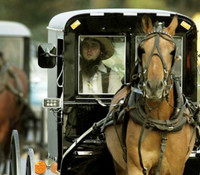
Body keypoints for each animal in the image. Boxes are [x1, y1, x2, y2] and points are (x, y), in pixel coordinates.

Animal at [105, 15, 196, 175]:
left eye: (173, 51)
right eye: (141, 50)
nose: (154, 87)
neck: (160, 123)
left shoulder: (176, 167)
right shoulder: (136, 166)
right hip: (119, 164)